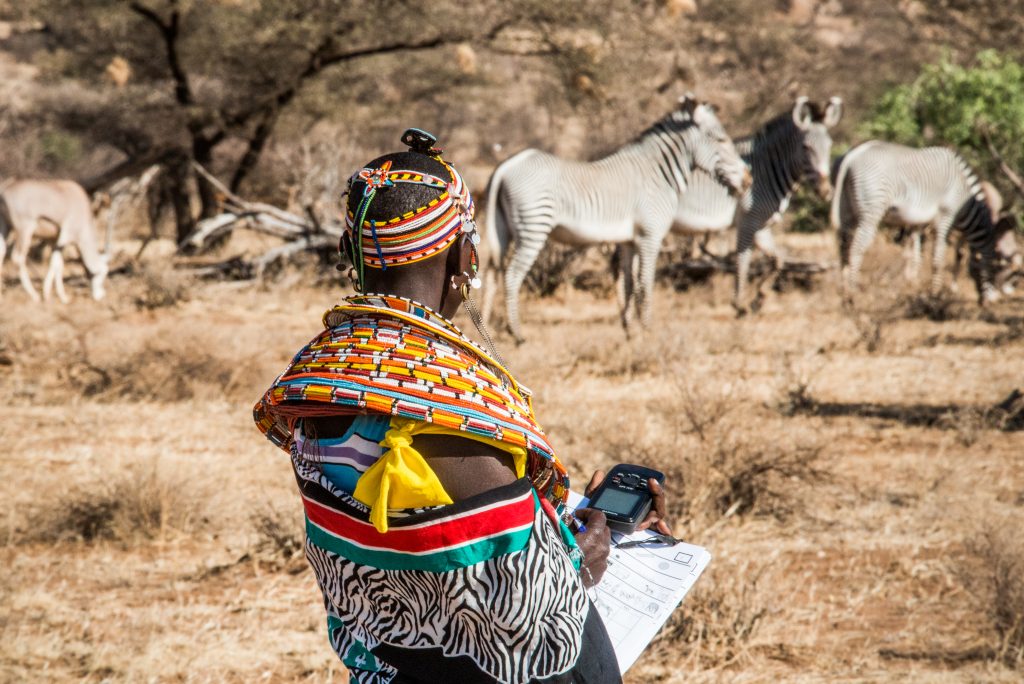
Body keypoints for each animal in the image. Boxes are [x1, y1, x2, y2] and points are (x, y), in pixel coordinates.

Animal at [482, 94, 751, 342]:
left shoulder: (629, 240)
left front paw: (630, 330)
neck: (657, 174)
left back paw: (485, 330)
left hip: (503, 230)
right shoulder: (651, 235)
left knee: (490, 275)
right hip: (534, 228)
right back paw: (517, 334)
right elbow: (646, 283)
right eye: (721, 140)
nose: (748, 180)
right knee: (511, 276)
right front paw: (647, 331)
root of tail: (505, 166)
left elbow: (629, 283)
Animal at [830, 141, 1001, 304]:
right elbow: (937, 257)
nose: (993, 301)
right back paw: (853, 293)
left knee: (843, 248)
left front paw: (913, 283)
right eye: (994, 269)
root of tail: (852, 156)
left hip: (847, 211)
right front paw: (935, 294)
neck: (966, 201)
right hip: (871, 211)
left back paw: (843, 292)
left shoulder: (918, 222)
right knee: (856, 248)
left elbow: (917, 252)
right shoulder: (945, 217)